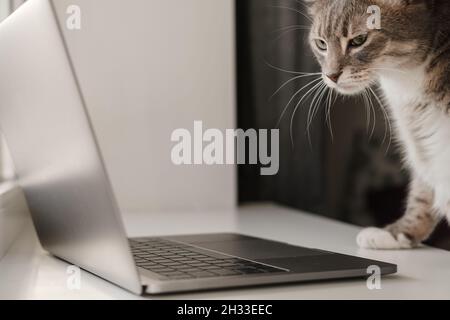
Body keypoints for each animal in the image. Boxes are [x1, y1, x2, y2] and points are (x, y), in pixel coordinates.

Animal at [306, 0, 450, 250]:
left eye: (359, 40)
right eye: (321, 44)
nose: (331, 75)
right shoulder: (422, 138)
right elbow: (422, 194)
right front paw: (397, 234)